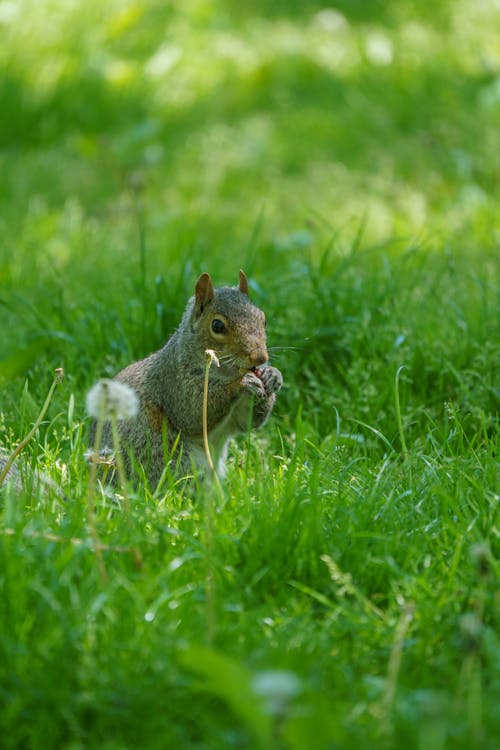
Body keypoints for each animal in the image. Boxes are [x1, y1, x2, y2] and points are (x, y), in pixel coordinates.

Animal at [94, 270, 282, 488]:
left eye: (263, 319)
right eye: (217, 325)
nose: (259, 358)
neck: (225, 374)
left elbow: (248, 422)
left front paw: (273, 375)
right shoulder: (173, 382)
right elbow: (193, 413)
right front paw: (241, 384)